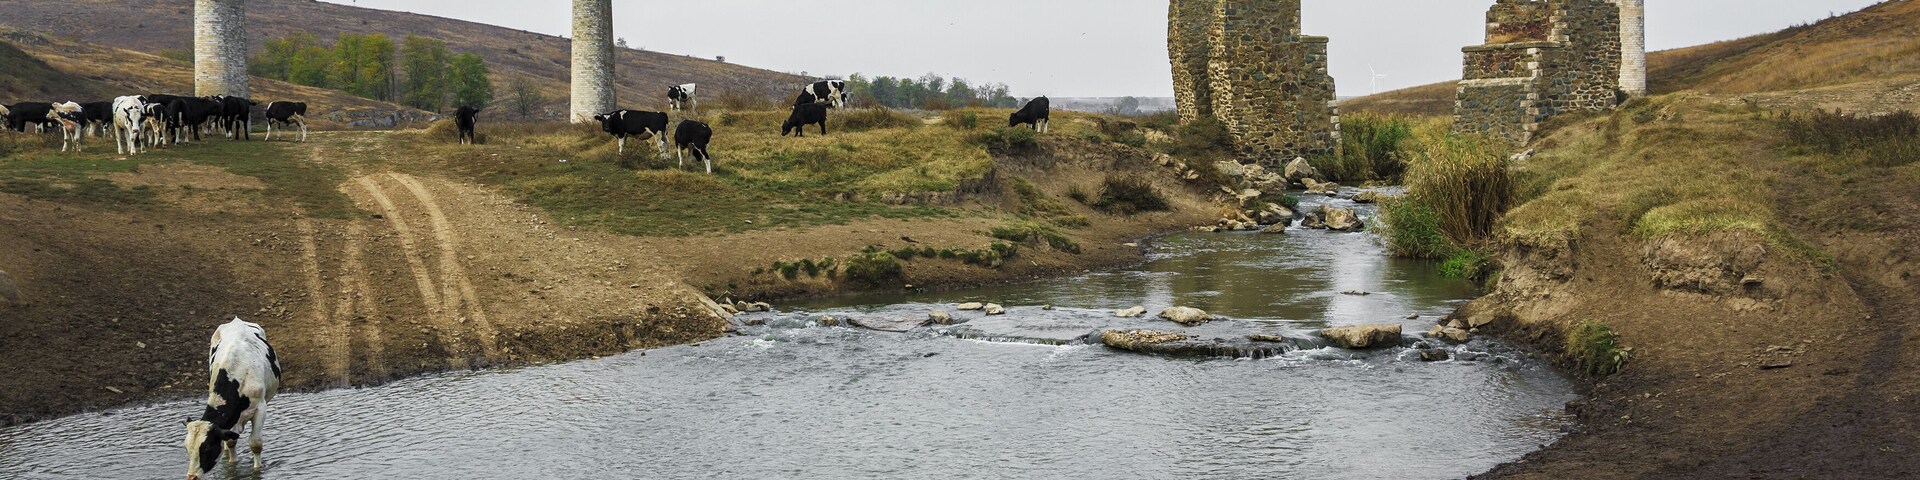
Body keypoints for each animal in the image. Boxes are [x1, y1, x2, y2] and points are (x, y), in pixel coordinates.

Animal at [183, 318, 282, 480]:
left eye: (207, 448)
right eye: (186, 448)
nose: (192, 477)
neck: (236, 375)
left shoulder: (260, 408)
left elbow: (255, 444)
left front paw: (257, 470)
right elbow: (230, 441)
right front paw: (232, 465)